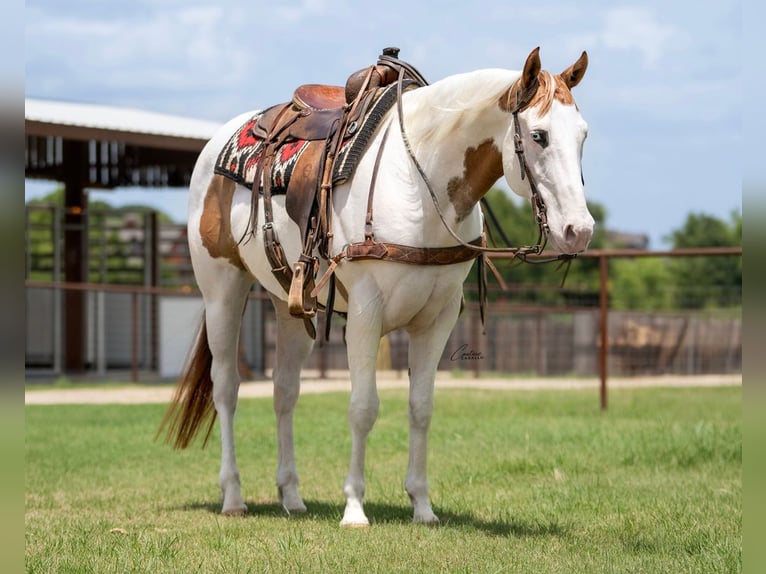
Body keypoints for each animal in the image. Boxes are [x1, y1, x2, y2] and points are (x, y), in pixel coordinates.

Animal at [159, 47, 594, 527]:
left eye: (583, 136)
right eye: (538, 135)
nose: (579, 230)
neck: (419, 183)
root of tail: (216, 146)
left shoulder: (438, 318)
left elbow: (421, 408)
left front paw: (422, 506)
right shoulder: (366, 314)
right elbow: (363, 408)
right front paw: (354, 508)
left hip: (287, 303)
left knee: (284, 391)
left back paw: (291, 496)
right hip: (222, 290)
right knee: (226, 388)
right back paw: (233, 496)